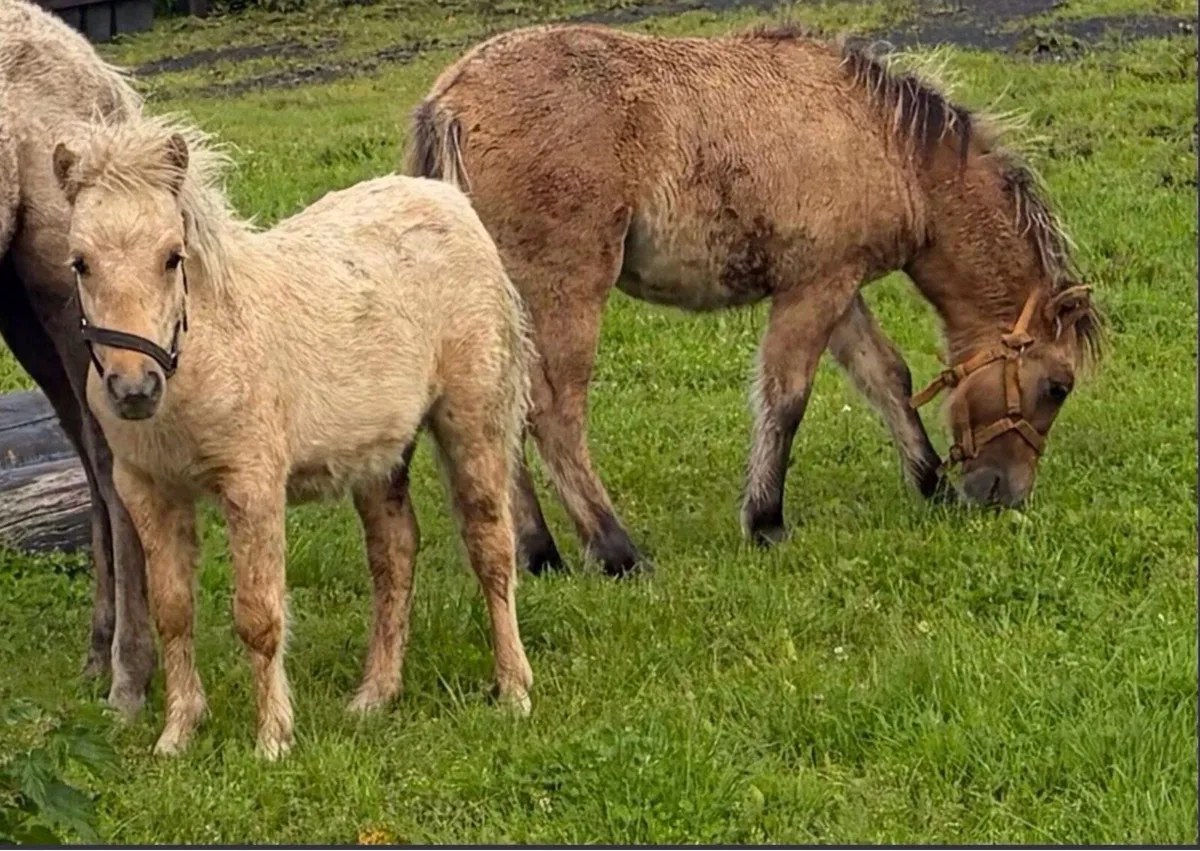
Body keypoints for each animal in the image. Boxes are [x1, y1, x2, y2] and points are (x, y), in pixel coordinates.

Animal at [52, 114, 536, 758]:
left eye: (172, 257)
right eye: (79, 263)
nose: (135, 389)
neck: (201, 356)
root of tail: (446, 196)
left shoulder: (252, 483)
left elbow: (258, 614)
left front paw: (273, 739)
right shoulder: (147, 489)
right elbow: (174, 610)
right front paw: (178, 734)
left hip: (473, 418)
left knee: (491, 547)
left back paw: (514, 689)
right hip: (376, 455)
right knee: (395, 553)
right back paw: (374, 695)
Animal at [404, 22, 1104, 578]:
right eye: (1057, 387)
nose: (1000, 495)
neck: (888, 145)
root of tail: (450, 102)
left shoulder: (836, 286)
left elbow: (887, 378)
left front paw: (927, 480)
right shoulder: (814, 290)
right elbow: (786, 397)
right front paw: (765, 519)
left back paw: (539, 551)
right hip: (567, 291)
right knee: (552, 412)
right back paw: (614, 549)